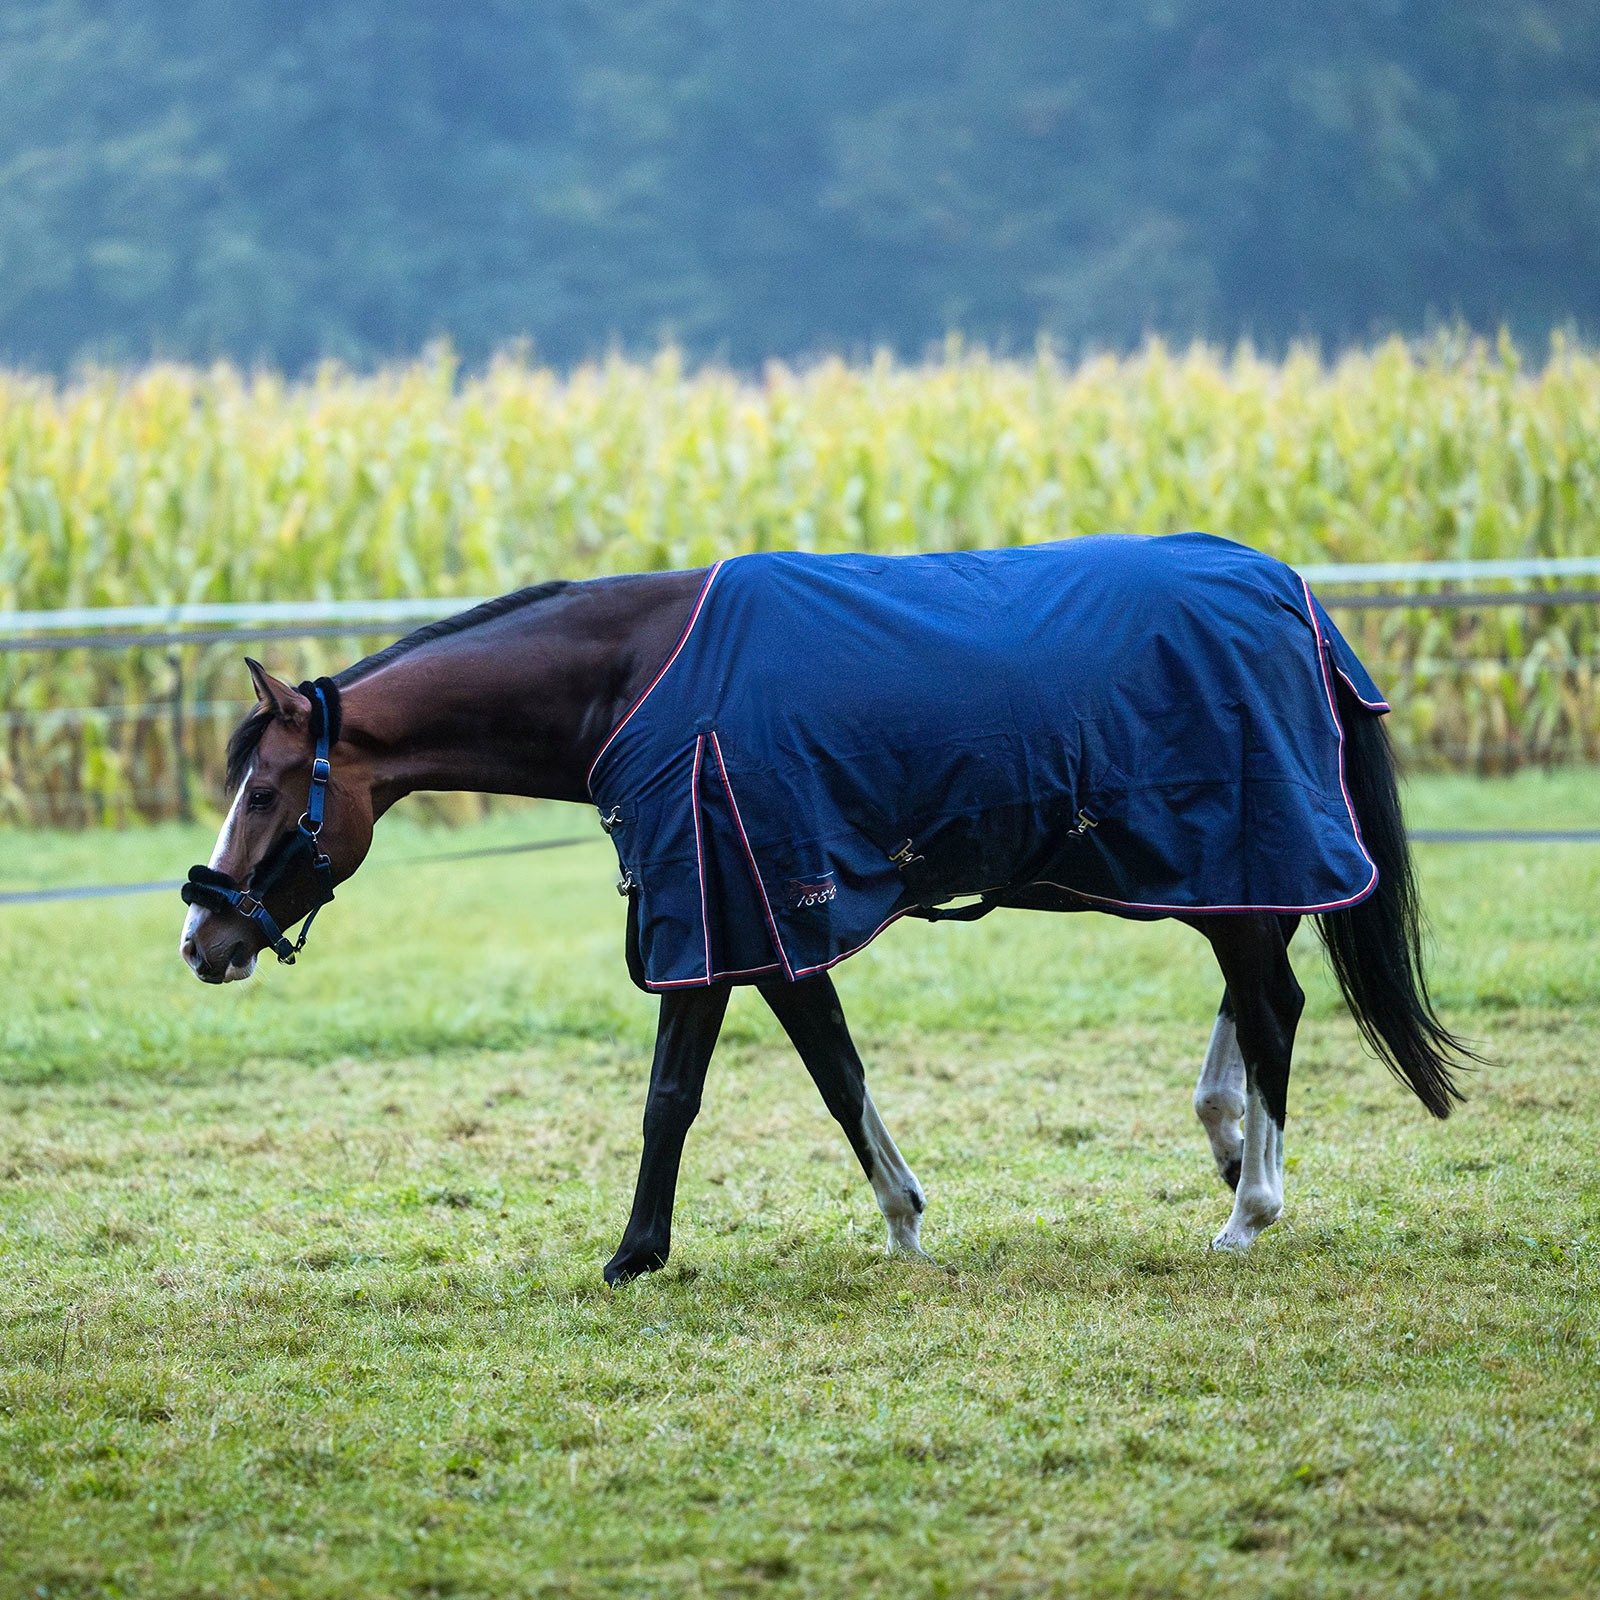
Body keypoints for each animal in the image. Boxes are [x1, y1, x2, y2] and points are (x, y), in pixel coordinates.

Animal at [179, 534, 1473, 1283]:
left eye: (262, 790)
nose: (203, 938)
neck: (637, 681)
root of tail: (1294, 599)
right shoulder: (765, 927)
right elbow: (835, 1069)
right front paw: (904, 1220)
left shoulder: (711, 914)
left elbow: (672, 1096)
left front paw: (633, 1254)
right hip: (1227, 869)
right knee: (1258, 996)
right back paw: (1225, 1142)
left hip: (1231, 851)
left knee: (1275, 1005)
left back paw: (1251, 1206)